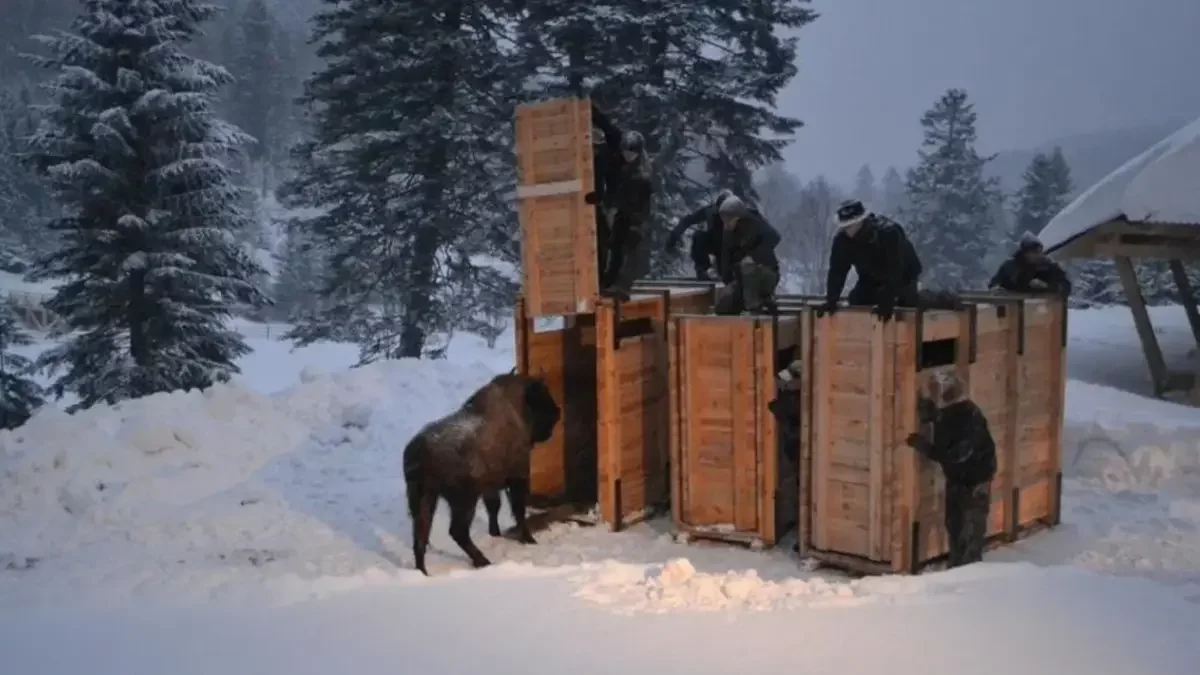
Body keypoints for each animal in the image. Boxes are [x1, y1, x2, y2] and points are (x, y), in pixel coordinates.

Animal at [398, 367, 556, 571]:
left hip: (426, 498)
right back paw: (483, 561)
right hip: (463, 500)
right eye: (542, 398)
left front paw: (496, 534)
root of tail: (419, 450)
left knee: (421, 536)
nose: (557, 412)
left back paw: (424, 572)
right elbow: (518, 510)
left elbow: (494, 507)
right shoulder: (517, 477)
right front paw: (529, 539)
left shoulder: (490, 486)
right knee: (457, 531)